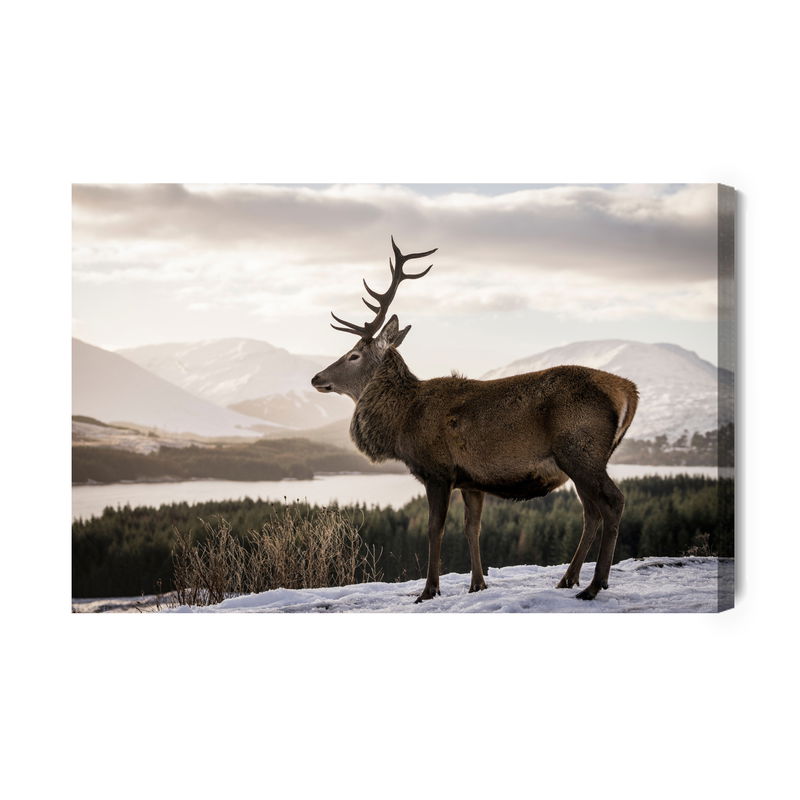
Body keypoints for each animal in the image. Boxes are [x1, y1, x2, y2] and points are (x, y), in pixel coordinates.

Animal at [311, 238, 639, 603]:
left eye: (353, 355)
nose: (316, 378)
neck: (402, 423)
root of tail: (628, 391)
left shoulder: (437, 471)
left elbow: (434, 529)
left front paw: (429, 590)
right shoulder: (471, 481)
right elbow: (473, 528)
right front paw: (477, 584)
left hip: (581, 450)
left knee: (613, 502)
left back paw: (595, 584)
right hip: (582, 460)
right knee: (591, 512)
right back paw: (569, 578)